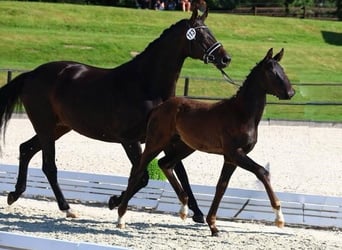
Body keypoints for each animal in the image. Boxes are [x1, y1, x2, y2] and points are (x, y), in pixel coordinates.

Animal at [0, 7, 231, 223]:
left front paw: (197, 213)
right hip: (45, 126)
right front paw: (114, 202)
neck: (145, 85)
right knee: (49, 166)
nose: (225, 58)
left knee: (26, 149)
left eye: (210, 31)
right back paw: (67, 208)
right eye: (201, 35)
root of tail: (31, 74)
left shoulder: (165, 139)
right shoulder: (129, 140)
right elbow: (141, 176)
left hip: (58, 127)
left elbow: (180, 172)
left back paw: (14, 194)